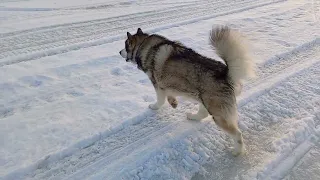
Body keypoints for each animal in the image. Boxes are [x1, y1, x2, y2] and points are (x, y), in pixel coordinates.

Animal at [119, 26, 256, 155]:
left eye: (125, 46)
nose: (119, 52)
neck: (144, 45)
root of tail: (225, 73)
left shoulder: (157, 84)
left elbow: (160, 100)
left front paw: (154, 106)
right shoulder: (168, 83)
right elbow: (170, 95)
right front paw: (173, 102)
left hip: (218, 113)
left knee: (237, 134)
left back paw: (237, 151)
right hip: (204, 100)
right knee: (203, 114)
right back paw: (192, 116)